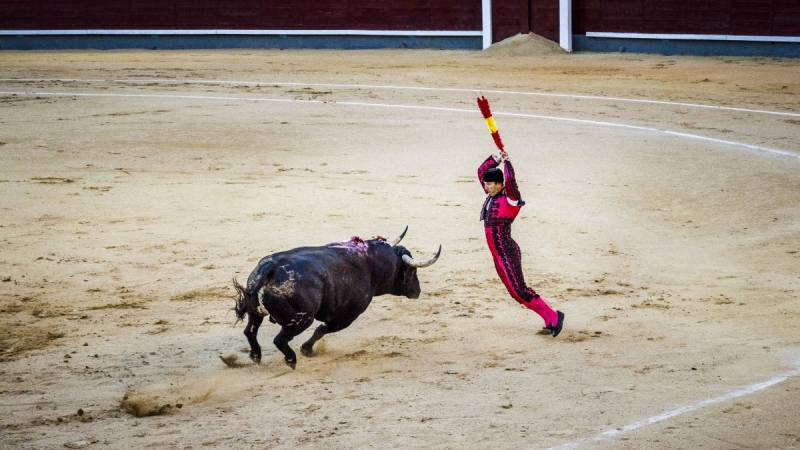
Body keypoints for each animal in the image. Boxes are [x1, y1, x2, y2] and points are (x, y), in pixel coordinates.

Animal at [231, 229, 444, 370]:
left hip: (256, 312)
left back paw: (256, 356)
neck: (372, 263)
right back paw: (291, 360)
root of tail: (272, 267)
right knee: (280, 339)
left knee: (250, 331)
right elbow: (322, 329)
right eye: (412, 270)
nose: (417, 291)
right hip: (301, 319)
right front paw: (307, 350)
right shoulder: (348, 315)